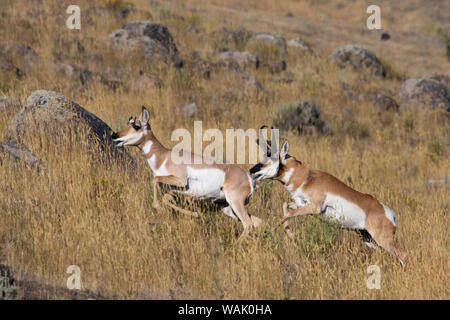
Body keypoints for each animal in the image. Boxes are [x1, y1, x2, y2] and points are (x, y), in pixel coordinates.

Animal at [110, 107, 262, 240]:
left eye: (136, 126)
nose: (114, 135)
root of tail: (249, 179)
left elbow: (155, 180)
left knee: (248, 224)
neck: (163, 157)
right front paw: (195, 214)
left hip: (235, 203)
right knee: (256, 222)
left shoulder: (180, 181)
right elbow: (165, 198)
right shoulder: (173, 191)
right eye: (128, 123)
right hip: (227, 207)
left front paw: (160, 208)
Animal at [250, 127, 408, 264]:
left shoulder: (314, 208)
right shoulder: (300, 204)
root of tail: (390, 214)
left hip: (382, 239)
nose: (252, 170)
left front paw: (266, 231)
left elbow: (287, 215)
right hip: (366, 237)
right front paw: (291, 235)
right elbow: (285, 208)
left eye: (271, 157)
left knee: (403, 254)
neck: (306, 177)